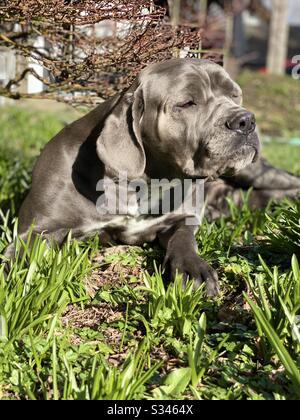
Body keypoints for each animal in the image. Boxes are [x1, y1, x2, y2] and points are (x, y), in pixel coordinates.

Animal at [4, 58, 300, 296]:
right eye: (187, 103)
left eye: (235, 95)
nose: (246, 120)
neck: (144, 182)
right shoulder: (37, 230)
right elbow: (19, 256)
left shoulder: (182, 220)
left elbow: (184, 241)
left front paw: (194, 269)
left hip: (257, 172)